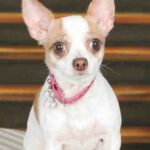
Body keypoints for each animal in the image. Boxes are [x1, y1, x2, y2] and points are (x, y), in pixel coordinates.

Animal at [22, 0, 122, 149]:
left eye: (95, 44)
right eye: (58, 47)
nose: (80, 62)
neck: (77, 93)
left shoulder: (112, 138)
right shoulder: (53, 143)